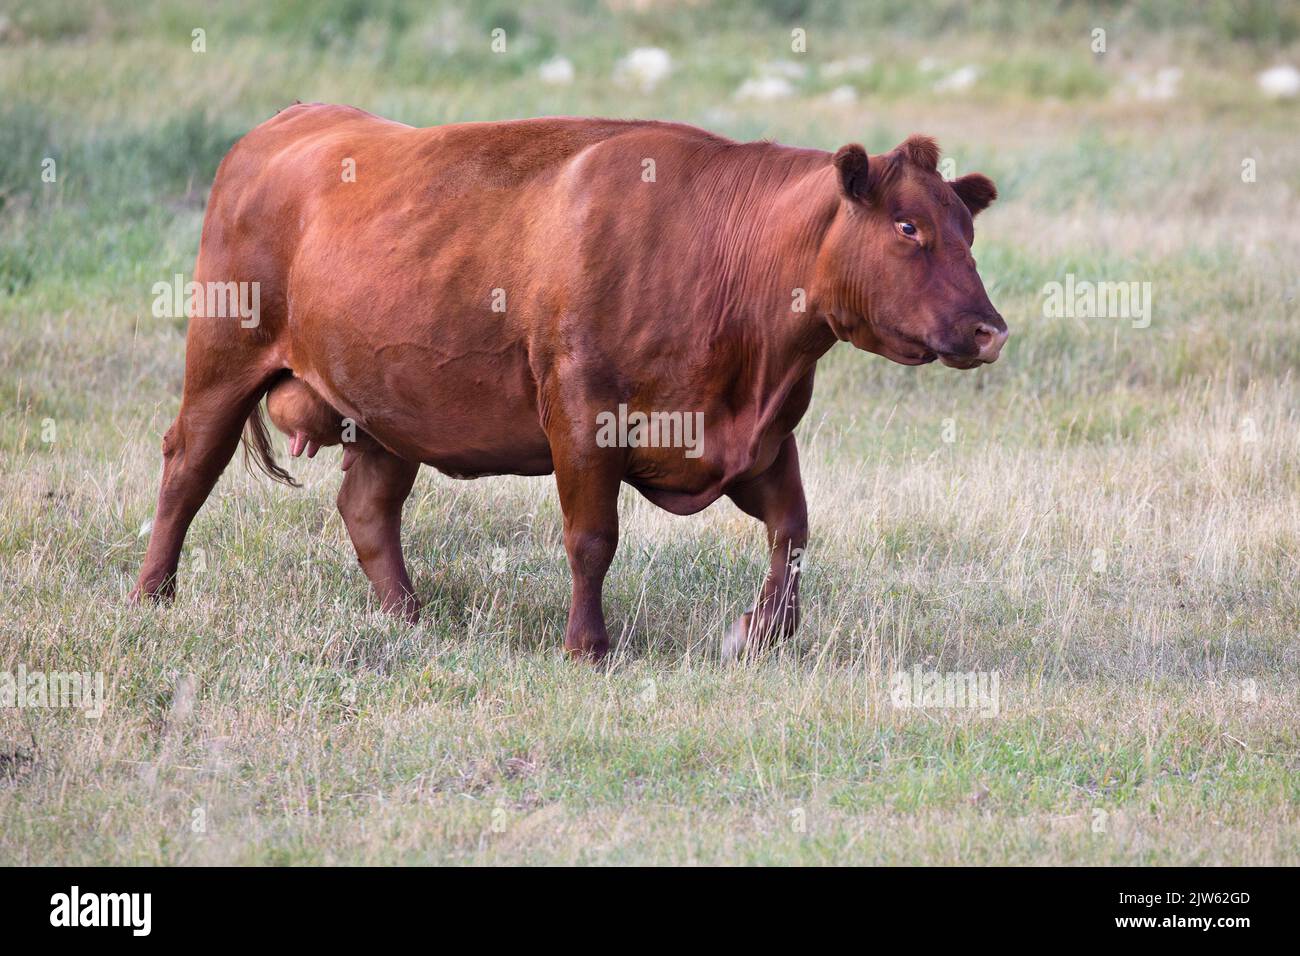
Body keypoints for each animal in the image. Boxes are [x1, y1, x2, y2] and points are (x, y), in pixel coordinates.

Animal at [131, 104, 1007, 661]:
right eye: (908, 227)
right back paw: (152, 594)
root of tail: (285, 123)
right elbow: (593, 539)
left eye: (967, 231)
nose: (989, 330)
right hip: (223, 356)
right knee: (189, 467)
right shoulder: (584, 422)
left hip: (388, 406)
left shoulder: (759, 439)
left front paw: (760, 634)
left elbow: (792, 533)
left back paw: (409, 617)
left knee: (367, 508)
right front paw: (588, 645)